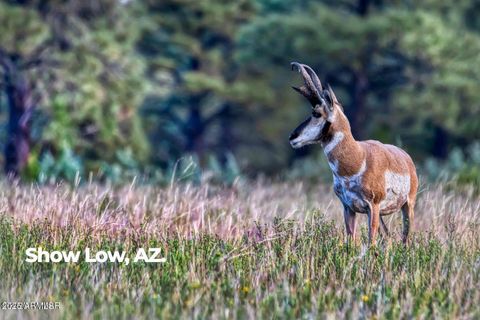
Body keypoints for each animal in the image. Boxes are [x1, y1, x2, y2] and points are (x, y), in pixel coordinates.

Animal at [288, 61, 416, 244]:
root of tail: (405, 156)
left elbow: (371, 242)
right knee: (389, 238)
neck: (358, 159)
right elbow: (351, 241)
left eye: (316, 113)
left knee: (406, 239)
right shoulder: (348, 208)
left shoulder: (373, 207)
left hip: (408, 206)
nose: (292, 137)